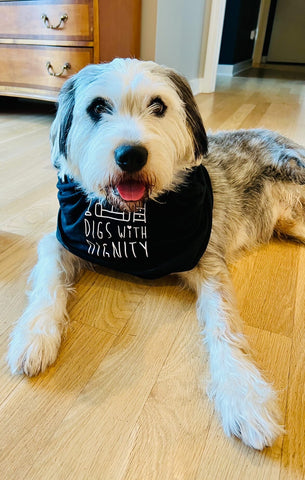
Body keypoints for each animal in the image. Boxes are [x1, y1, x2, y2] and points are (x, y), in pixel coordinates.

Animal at [6, 59, 304, 450]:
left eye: (158, 105)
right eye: (97, 107)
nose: (130, 155)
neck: (131, 219)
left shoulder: (210, 265)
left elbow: (224, 325)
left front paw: (243, 393)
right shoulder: (63, 239)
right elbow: (48, 281)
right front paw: (34, 335)